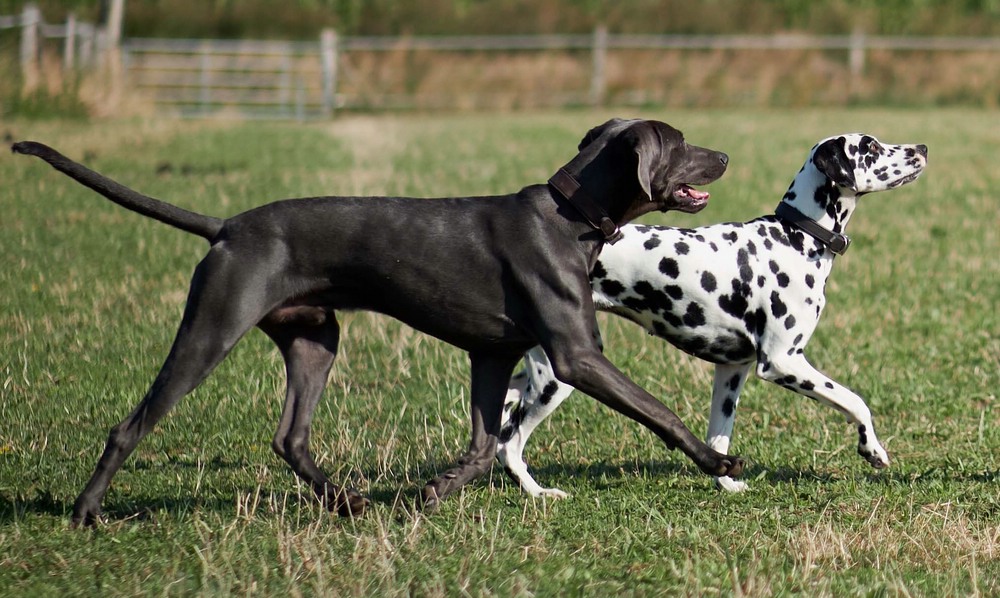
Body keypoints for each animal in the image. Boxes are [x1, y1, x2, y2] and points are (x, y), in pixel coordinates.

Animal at [11, 118, 740, 528]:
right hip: (210, 329)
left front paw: (432, 493)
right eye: (680, 144)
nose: (729, 157)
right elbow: (659, 410)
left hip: (315, 339)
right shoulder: (576, 355)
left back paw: (347, 503)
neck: (570, 217)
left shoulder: (490, 355)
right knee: (131, 425)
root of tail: (227, 227)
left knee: (290, 437)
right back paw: (86, 513)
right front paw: (719, 461)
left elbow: (483, 446)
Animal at [500, 135, 928, 496]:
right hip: (559, 377)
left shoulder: (732, 371)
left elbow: (718, 438)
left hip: (536, 371)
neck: (795, 237)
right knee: (511, 444)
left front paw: (728, 484)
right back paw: (539, 493)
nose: (921, 147)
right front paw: (872, 449)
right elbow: (856, 401)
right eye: (870, 146)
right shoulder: (783, 362)